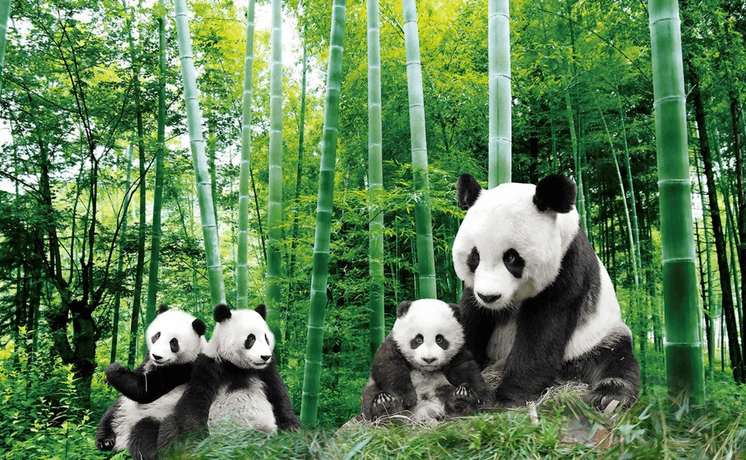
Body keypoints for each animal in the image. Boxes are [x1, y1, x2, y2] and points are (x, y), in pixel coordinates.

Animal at [96, 305, 207, 460]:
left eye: (173, 342)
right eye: (157, 335)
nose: (157, 356)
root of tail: (122, 440)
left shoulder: (181, 370)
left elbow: (144, 390)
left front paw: (112, 369)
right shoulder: (147, 360)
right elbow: (138, 375)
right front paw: (107, 379)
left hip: (157, 415)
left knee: (144, 431)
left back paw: (147, 453)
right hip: (123, 407)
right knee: (109, 416)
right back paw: (106, 441)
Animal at [158, 303, 300, 448]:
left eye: (266, 338)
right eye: (251, 338)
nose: (265, 357)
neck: (237, 366)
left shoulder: (266, 370)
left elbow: (278, 393)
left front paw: (292, 427)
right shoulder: (209, 365)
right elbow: (195, 399)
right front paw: (199, 439)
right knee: (169, 426)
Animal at [360, 299, 493, 424]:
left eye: (439, 339)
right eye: (418, 339)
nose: (429, 359)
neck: (425, 369)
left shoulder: (457, 352)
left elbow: (465, 368)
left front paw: (483, 394)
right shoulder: (393, 344)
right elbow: (389, 367)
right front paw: (407, 397)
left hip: (441, 388)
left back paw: (461, 399)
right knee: (371, 395)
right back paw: (384, 407)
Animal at [452, 174, 639, 410]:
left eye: (511, 257)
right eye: (475, 256)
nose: (489, 297)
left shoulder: (567, 266)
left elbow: (544, 330)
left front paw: (508, 398)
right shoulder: (474, 288)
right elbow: (472, 317)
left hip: (597, 337)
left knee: (616, 359)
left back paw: (607, 396)